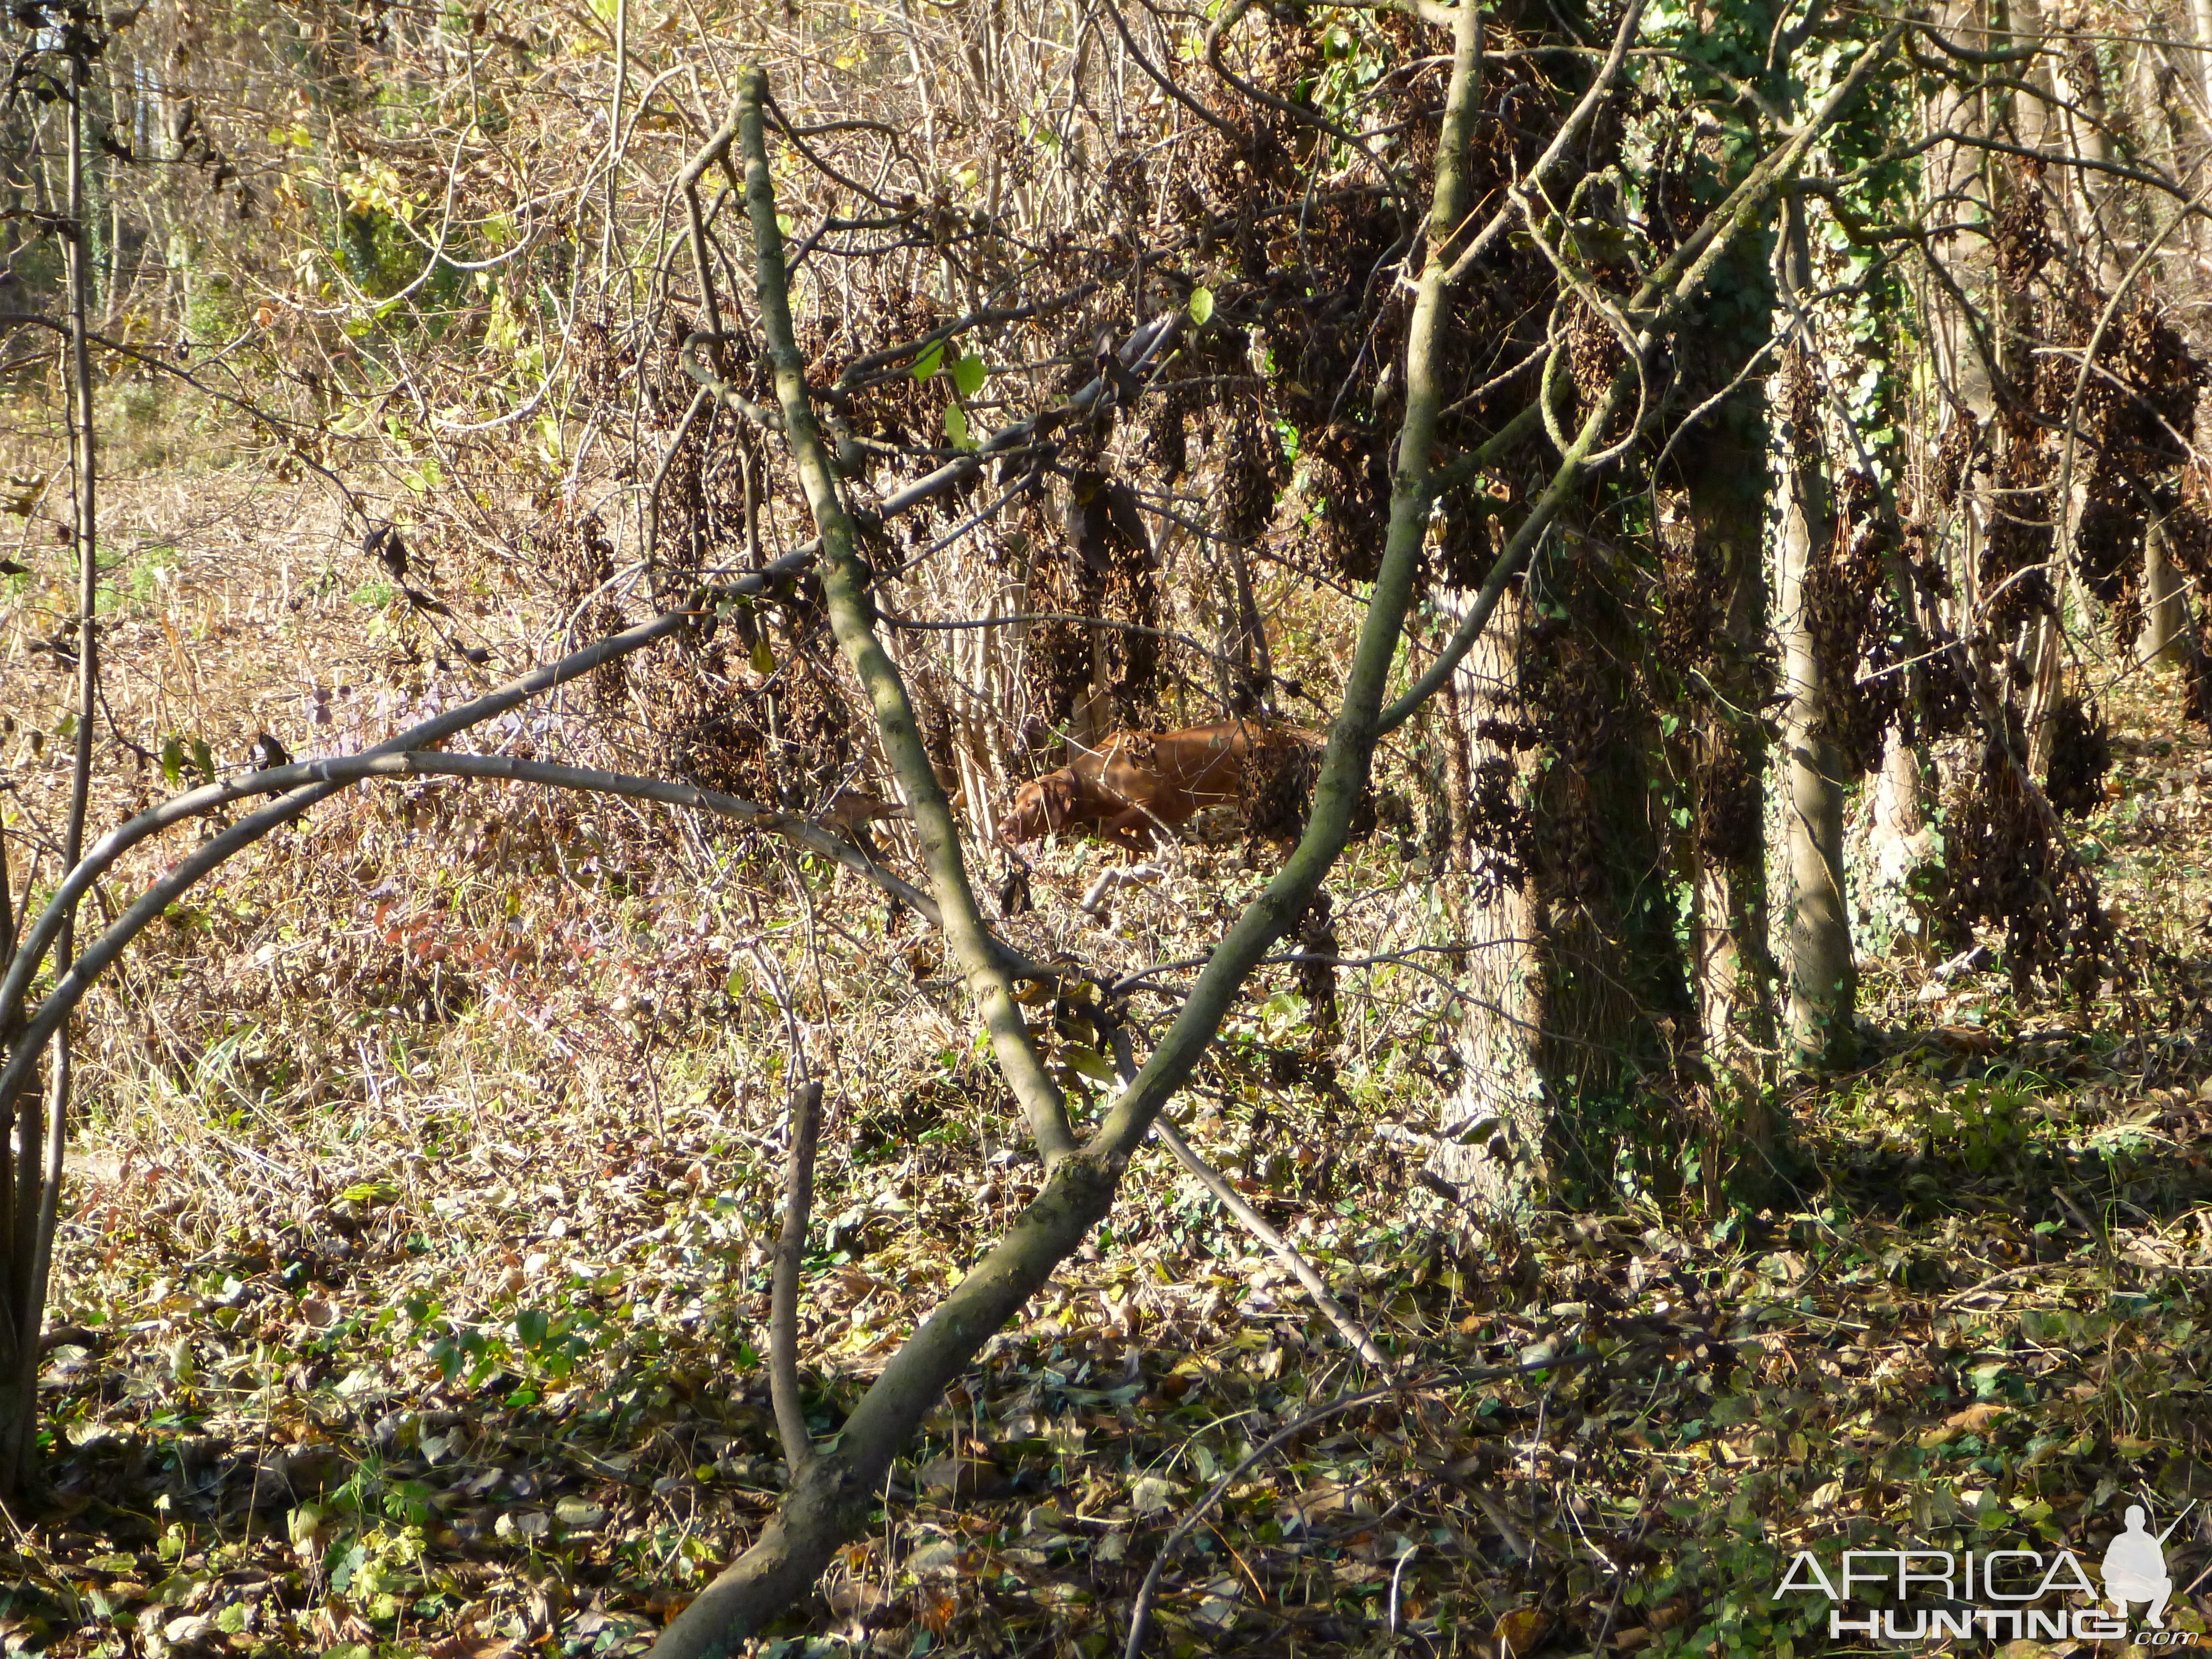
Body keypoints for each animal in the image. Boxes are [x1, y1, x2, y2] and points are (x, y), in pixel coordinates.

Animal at [1000, 726, 1310, 858]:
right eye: (1016, 801)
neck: (1092, 779)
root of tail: (1279, 733)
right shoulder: (1135, 818)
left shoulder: (1151, 802)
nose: (1003, 829)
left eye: (1031, 804)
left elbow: (1110, 828)